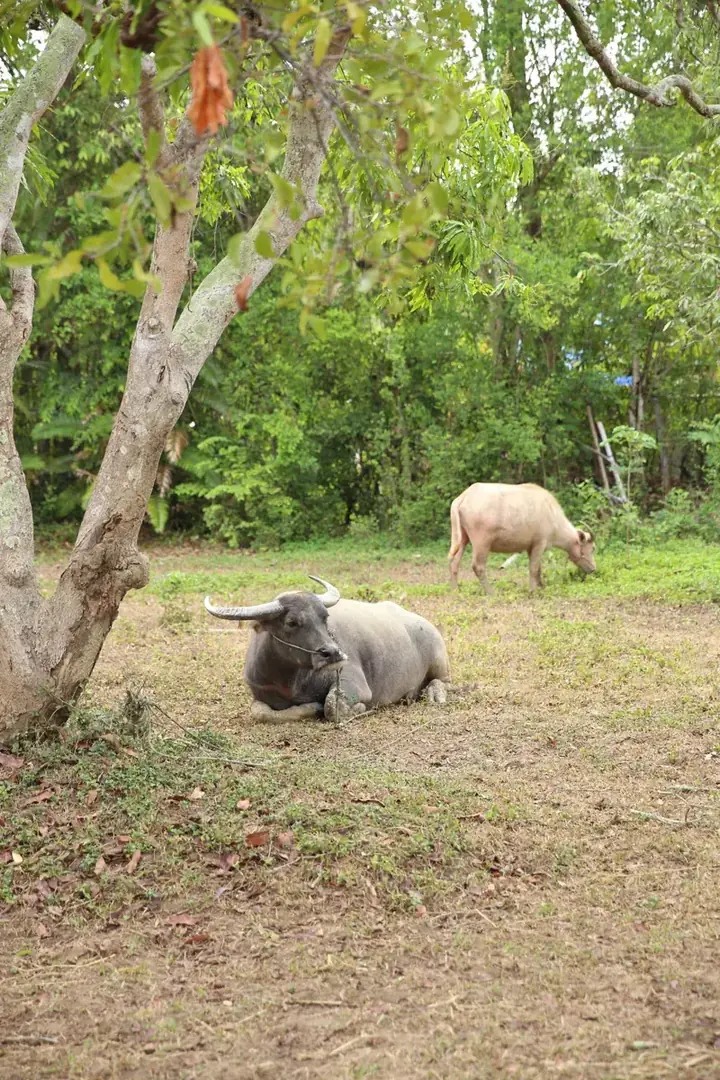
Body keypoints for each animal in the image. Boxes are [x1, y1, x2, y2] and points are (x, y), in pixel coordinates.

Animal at [204, 576, 450, 722]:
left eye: (325, 617)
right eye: (291, 622)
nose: (333, 653)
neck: (290, 680)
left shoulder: (355, 683)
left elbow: (332, 706)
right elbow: (261, 713)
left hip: (439, 657)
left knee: (443, 681)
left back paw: (434, 694)